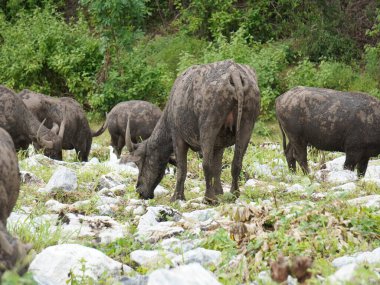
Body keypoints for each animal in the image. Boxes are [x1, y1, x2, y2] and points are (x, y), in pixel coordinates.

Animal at [121, 60, 262, 202]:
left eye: (139, 162)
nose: (139, 191)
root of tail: (234, 73)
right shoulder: (219, 145)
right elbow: (217, 168)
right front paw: (219, 192)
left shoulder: (177, 138)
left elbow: (182, 169)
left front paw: (177, 197)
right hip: (246, 126)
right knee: (236, 163)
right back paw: (234, 194)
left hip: (208, 128)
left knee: (206, 164)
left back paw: (209, 198)